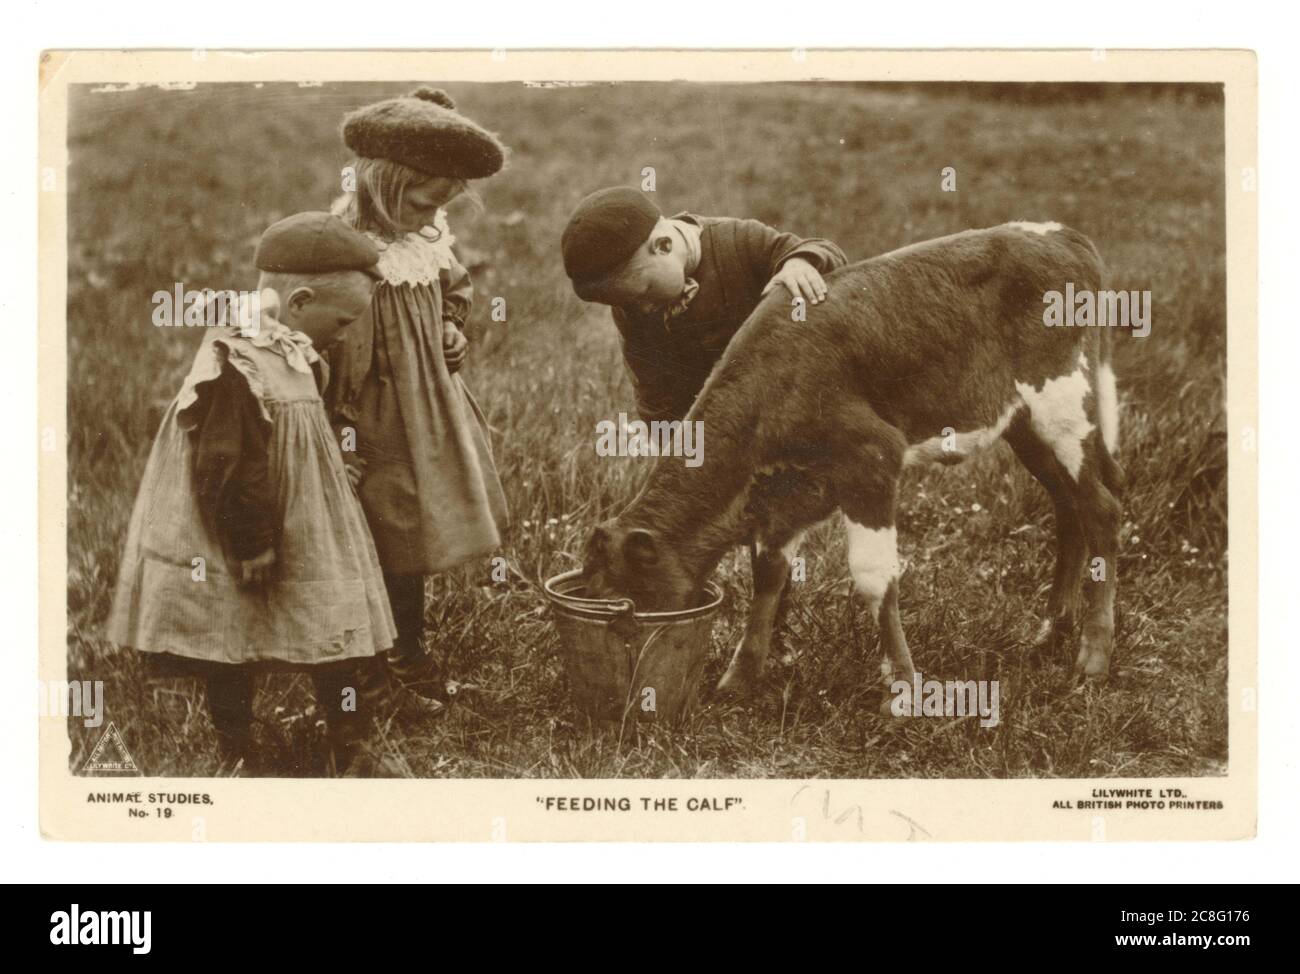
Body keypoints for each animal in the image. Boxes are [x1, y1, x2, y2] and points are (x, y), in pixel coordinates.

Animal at [585, 221, 1123, 697]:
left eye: (622, 599)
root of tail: (1062, 235)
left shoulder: (872, 459)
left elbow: (873, 576)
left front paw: (901, 687)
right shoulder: (785, 496)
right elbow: (769, 574)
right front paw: (740, 678)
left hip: (1061, 402)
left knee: (1101, 508)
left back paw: (1092, 658)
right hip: (1023, 422)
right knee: (1069, 505)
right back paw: (1050, 633)